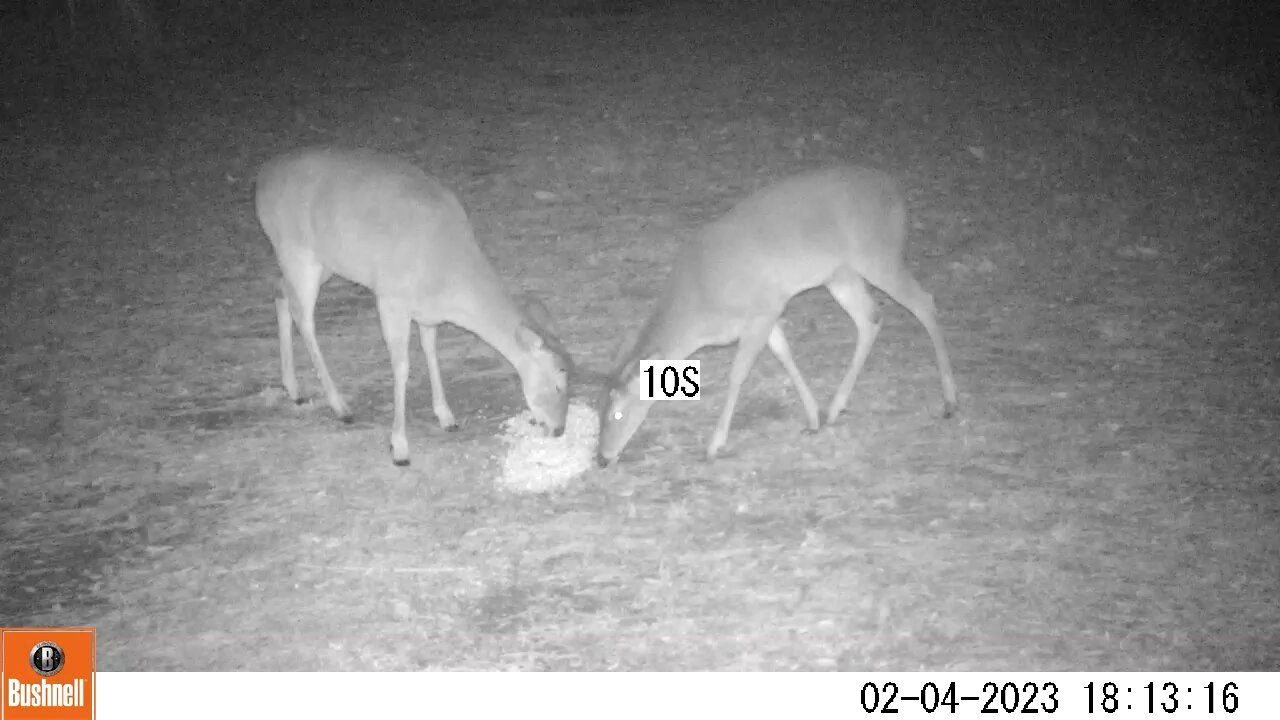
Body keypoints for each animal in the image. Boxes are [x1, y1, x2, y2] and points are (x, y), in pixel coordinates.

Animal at [255, 146, 572, 467]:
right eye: (559, 383)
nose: (559, 429)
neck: (448, 274)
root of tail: (262, 179)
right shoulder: (391, 298)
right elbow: (401, 367)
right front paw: (399, 447)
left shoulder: (427, 313)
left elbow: (431, 352)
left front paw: (446, 417)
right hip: (296, 250)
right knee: (304, 318)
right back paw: (340, 406)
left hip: (324, 262)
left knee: (281, 292)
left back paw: (293, 388)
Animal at [597, 165, 957, 466]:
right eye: (599, 409)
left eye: (617, 413)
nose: (602, 458)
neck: (699, 307)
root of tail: (896, 191)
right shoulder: (766, 309)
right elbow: (785, 353)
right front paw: (812, 418)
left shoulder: (762, 309)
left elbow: (737, 374)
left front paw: (714, 444)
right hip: (840, 274)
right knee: (871, 317)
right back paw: (835, 408)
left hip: (878, 254)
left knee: (924, 302)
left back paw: (950, 401)